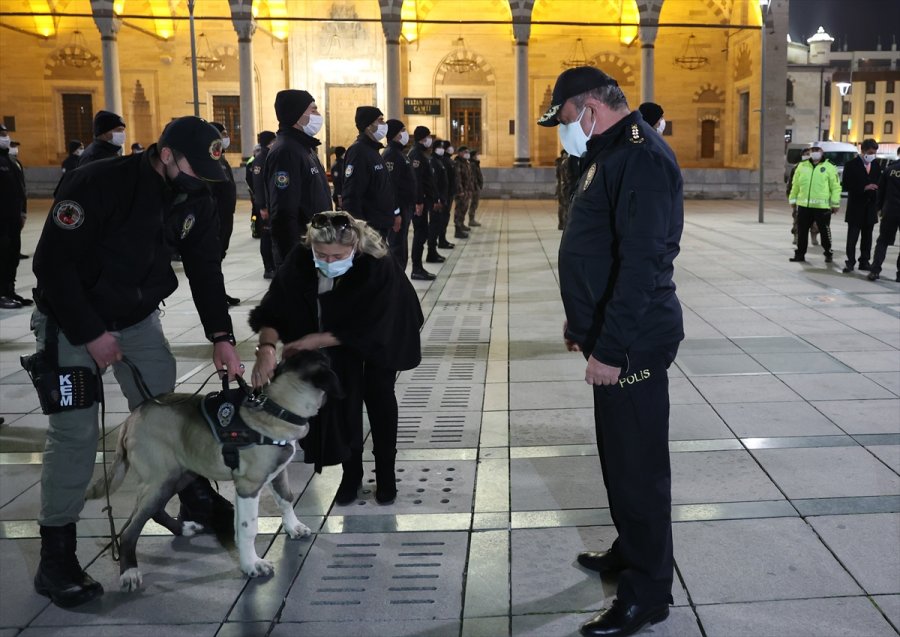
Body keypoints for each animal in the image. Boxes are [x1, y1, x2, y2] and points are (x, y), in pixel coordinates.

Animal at [85, 350, 338, 588]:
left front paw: (293, 527)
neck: (277, 408)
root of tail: (132, 417)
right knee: (130, 529)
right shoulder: (248, 486)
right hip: (160, 481)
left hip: (179, 474)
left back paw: (182, 529)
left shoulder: (277, 473)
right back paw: (129, 572)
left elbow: (286, 499)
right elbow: (248, 528)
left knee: (151, 513)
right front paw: (252, 565)